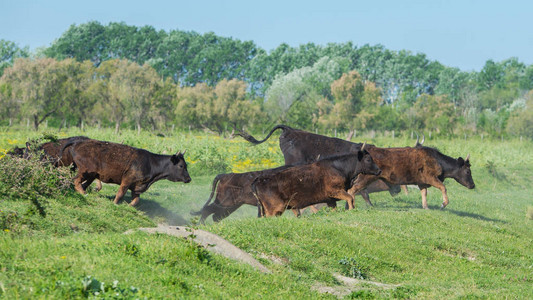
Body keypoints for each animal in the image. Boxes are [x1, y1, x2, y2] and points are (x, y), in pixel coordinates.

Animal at [63, 139, 191, 205]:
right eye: (181, 166)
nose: (189, 179)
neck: (150, 163)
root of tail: (77, 143)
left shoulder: (137, 185)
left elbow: (136, 200)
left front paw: (129, 205)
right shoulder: (127, 179)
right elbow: (120, 193)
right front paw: (115, 204)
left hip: (89, 173)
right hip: (85, 171)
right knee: (76, 181)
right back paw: (83, 193)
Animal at [251, 149, 380, 216]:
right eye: (368, 159)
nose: (379, 170)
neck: (338, 167)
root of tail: (259, 180)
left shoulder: (331, 200)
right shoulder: (336, 191)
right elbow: (350, 198)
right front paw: (351, 210)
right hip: (274, 210)